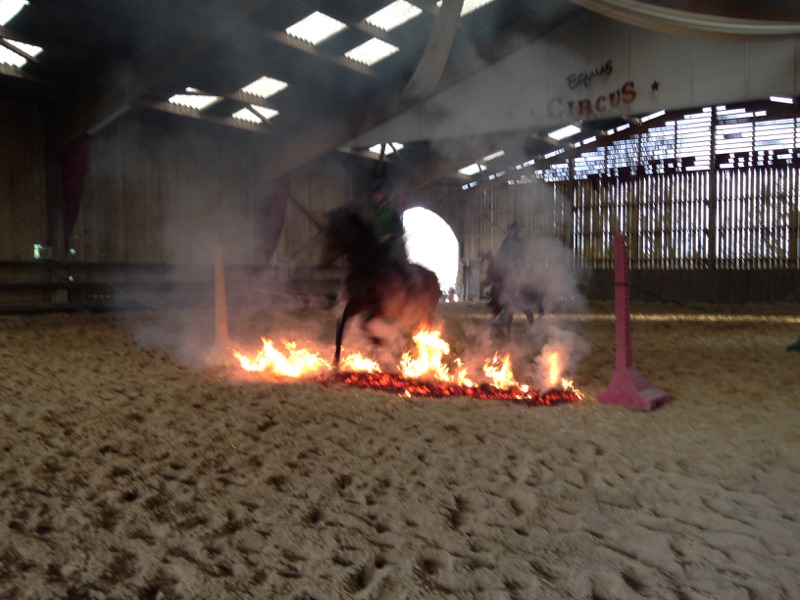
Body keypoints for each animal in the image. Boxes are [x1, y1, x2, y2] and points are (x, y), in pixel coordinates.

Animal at [322, 206, 440, 370]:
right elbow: (343, 323)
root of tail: (434, 277)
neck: (367, 267)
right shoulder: (357, 304)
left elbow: (363, 323)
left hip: (426, 313)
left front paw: (380, 342)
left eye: (336, 231)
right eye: (326, 231)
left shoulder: (381, 307)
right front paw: (335, 363)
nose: (326, 261)